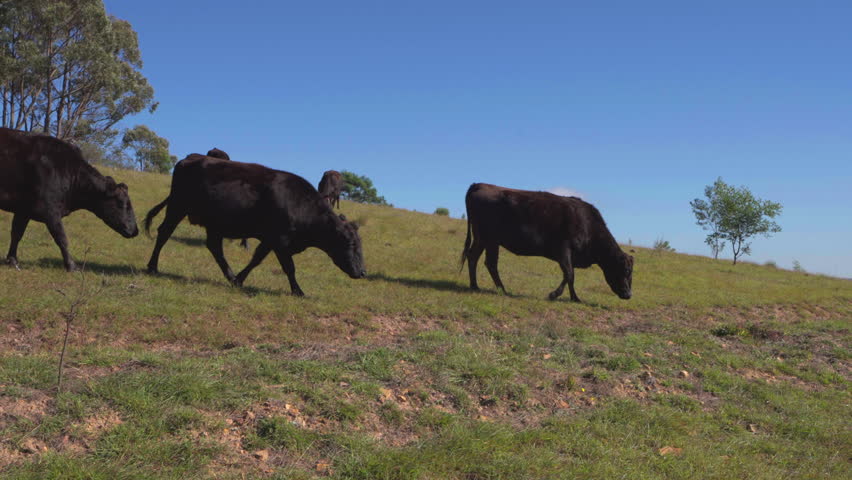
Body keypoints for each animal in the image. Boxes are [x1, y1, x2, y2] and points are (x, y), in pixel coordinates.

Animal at [0, 128, 138, 271]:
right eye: (122, 203)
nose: (135, 231)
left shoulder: (23, 210)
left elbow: (17, 233)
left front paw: (12, 260)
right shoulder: (49, 211)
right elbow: (62, 238)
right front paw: (72, 266)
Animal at [143, 154, 366, 296]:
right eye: (351, 244)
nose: (363, 272)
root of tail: (188, 159)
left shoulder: (269, 240)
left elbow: (256, 259)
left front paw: (239, 279)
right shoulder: (280, 240)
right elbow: (289, 267)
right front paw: (298, 291)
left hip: (212, 223)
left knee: (215, 247)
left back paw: (230, 276)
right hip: (177, 207)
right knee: (164, 233)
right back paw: (152, 267)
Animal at [460, 183, 633, 302]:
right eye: (625, 270)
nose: (628, 294)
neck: (587, 224)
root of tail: (480, 184)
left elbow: (571, 277)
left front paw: (574, 298)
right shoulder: (563, 249)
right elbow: (569, 274)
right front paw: (554, 294)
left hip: (482, 239)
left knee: (473, 257)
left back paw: (475, 286)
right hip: (490, 240)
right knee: (490, 263)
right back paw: (502, 289)